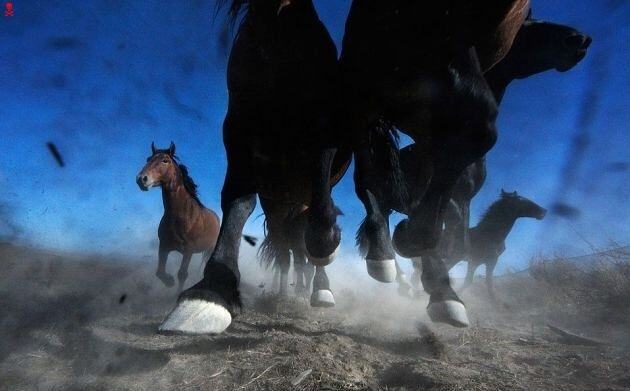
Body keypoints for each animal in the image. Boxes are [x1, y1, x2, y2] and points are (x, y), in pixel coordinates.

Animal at [136, 143, 222, 294]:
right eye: (148, 159)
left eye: (165, 160)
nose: (141, 179)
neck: (180, 216)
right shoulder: (164, 246)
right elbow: (159, 271)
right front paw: (169, 281)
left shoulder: (188, 251)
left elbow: (182, 274)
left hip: (210, 249)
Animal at [158, 0, 354, 336]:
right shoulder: (239, 131)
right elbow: (238, 202)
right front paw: (211, 292)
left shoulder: (325, 125)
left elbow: (320, 206)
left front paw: (327, 246)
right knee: (288, 250)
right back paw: (285, 293)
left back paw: (319, 288)